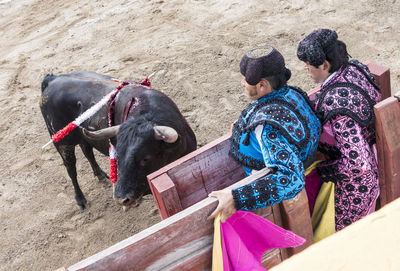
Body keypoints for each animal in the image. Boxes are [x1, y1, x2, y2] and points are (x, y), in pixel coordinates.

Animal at [39, 71, 196, 210]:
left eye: (145, 158)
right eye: (117, 156)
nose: (121, 199)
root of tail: (52, 79)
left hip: (82, 138)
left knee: (87, 151)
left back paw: (101, 175)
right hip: (62, 143)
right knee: (71, 168)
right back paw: (81, 200)